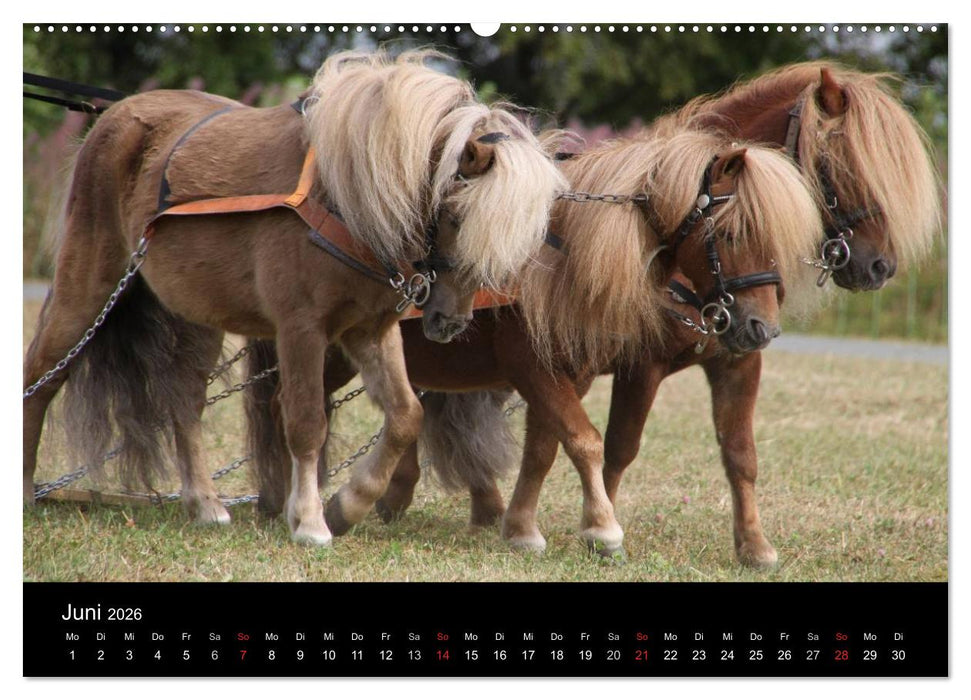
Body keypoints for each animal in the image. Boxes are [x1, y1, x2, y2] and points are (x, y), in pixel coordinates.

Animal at [22, 49, 567, 547]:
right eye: (456, 216)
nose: (450, 322)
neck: (343, 197)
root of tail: (115, 116)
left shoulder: (370, 330)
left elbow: (405, 415)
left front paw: (348, 505)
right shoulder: (301, 329)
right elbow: (305, 421)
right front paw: (309, 521)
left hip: (197, 315)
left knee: (184, 401)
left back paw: (204, 504)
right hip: (89, 285)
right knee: (43, 374)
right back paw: (27, 492)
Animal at [247, 125, 823, 557]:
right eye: (729, 233)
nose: (762, 329)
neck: (561, 254)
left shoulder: (574, 372)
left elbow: (548, 446)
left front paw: (524, 528)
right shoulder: (544, 367)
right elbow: (586, 441)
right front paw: (601, 530)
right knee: (290, 408)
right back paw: (295, 505)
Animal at [373, 62, 944, 567]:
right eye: (839, 165)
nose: (879, 266)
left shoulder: (735, 359)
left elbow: (739, 454)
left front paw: (754, 546)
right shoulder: (629, 366)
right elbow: (611, 446)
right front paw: (594, 528)